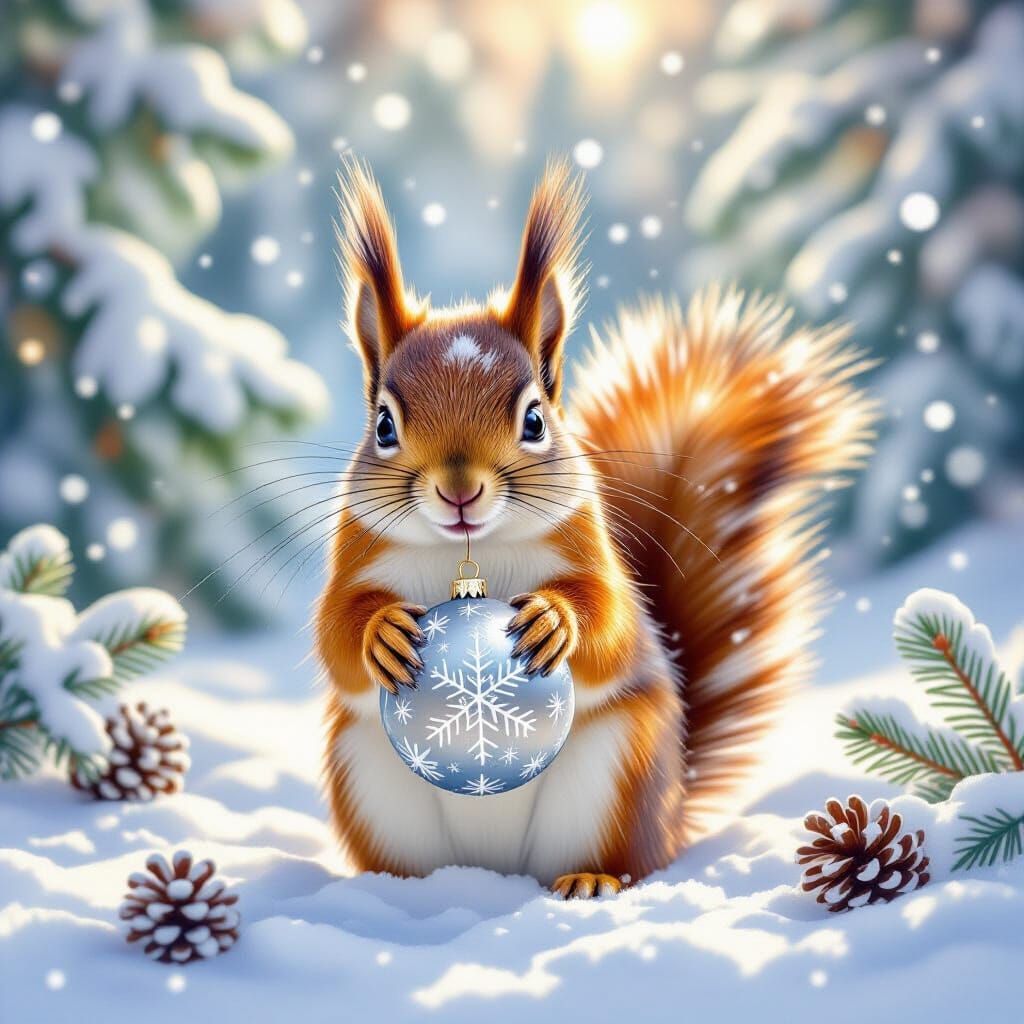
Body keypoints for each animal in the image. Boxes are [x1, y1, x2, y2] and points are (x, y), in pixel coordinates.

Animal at [317, 158, 876, 899]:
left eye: (534, 419)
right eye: (383, 425)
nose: (459, 490)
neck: (470, 550)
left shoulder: (591, 549)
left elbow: (608, 619)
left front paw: (556, 620)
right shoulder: (355, 553)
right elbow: (335, 633)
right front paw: (380, 632)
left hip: (616, 775)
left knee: (620, 858)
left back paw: (589, 879)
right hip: (368, 780)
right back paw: (403, 890)